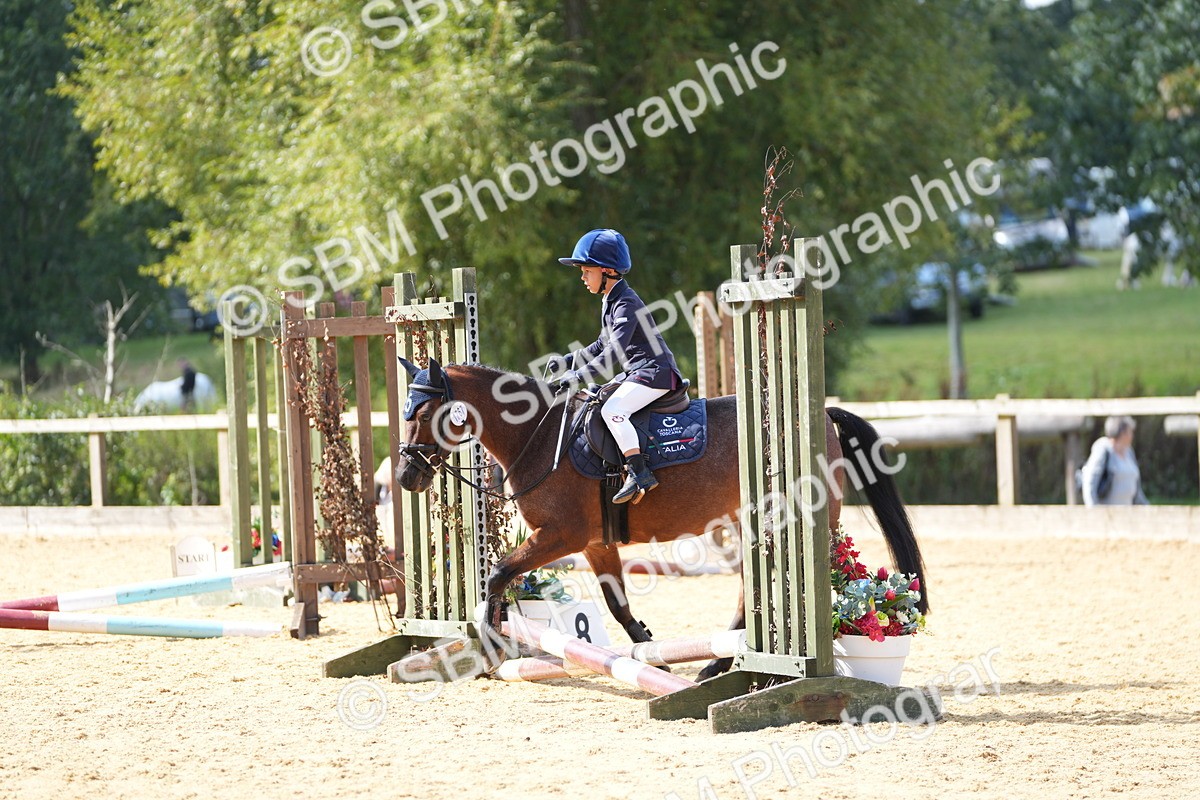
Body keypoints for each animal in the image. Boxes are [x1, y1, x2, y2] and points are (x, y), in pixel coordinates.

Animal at [394, 359, 927, 679]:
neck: (538, 437)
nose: (405, 476)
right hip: (749, 525)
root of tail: (820, 417)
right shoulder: (595, 543)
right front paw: (649, 652)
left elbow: (498, 573)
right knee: (747, 589)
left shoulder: (560, 535)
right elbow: (616, 604)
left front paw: (489, 640)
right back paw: (718, 664)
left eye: (422, 412)